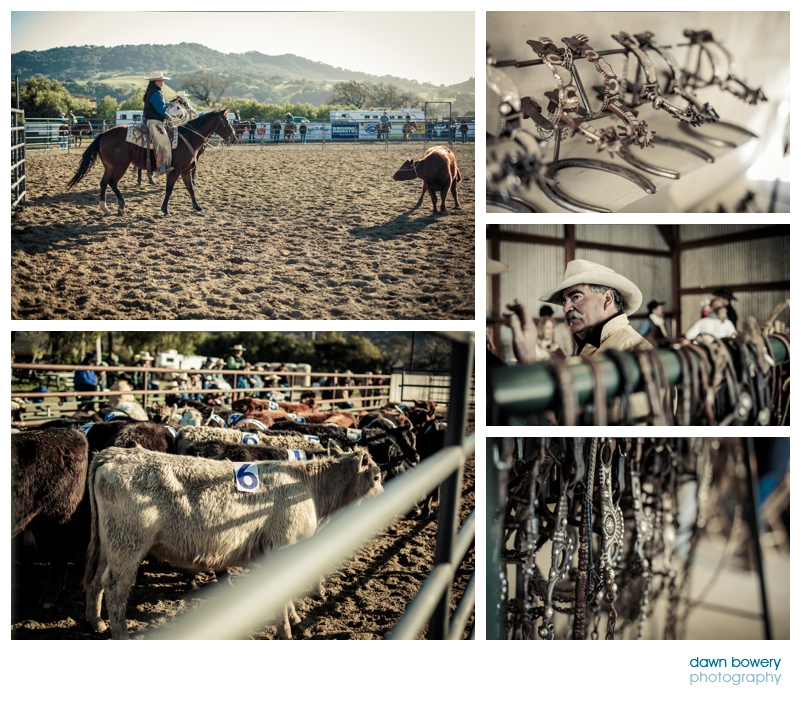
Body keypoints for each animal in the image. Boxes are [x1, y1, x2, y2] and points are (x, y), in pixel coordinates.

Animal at [65, 107, 234, 216]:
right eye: (225, 121)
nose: (233, 137)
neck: (187, 138)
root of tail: (103, 134)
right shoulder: (176, 170)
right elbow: (169, 189)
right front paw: (165, 210)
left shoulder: (185, 171)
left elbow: (190, 188)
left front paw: (197, 207)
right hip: (120, 166)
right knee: (112, 182)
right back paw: (121, 206)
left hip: (110, 166)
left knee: (103, 182)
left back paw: (104, 207)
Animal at [83, 448, 382, 640]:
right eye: (377, 477)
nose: (383, 496)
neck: (307, 487)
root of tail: (115, 454)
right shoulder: (283, 546)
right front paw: (286, 631)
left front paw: (294, 619)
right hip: (128, 545)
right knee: (115, 587)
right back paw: (121, 635)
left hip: (108, 545)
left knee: (96, 581)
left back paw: (97, 623)